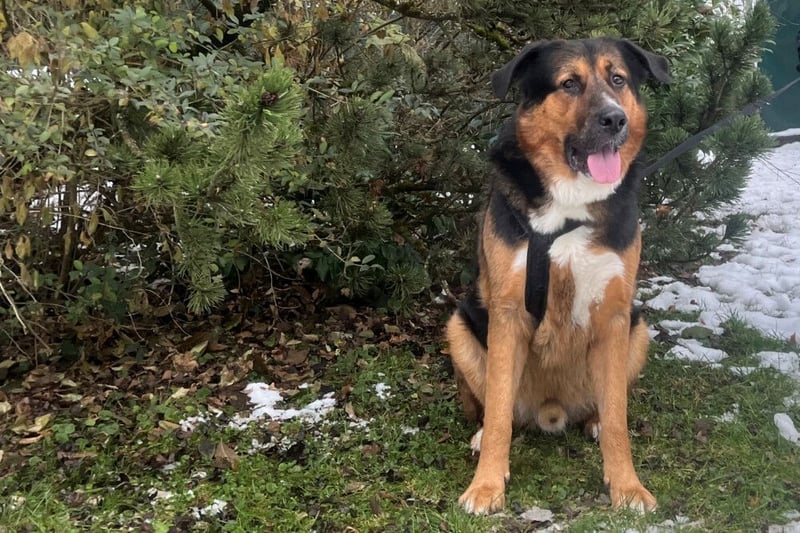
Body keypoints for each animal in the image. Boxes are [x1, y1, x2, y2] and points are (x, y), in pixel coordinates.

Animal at [445, 37, 670, 515]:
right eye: (569, 84)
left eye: (618, 79)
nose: (616, 120)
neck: (570, 203)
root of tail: (552, 410)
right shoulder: (508, 314)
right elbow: (497, 414)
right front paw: (486, 486)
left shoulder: (614, 316)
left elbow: (619, 419)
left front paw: (627, 486)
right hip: (459, 325)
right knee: (499, 409)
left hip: (638, 330)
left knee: (604, 407)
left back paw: (594, 421)